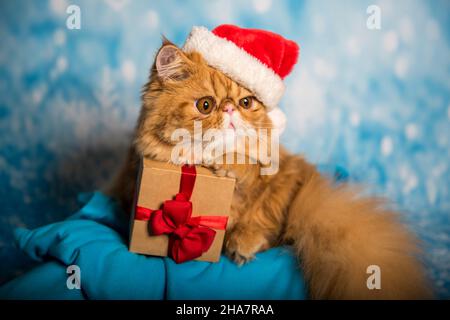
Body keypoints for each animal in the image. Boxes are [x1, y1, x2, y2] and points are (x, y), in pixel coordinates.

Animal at [108, 25, 432, 300]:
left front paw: (228, 163)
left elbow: (248, 169)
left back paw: (241, 245)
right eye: (205, 105)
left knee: (273, 231)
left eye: (246, 103)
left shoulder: (272, 172)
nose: (230, 110)